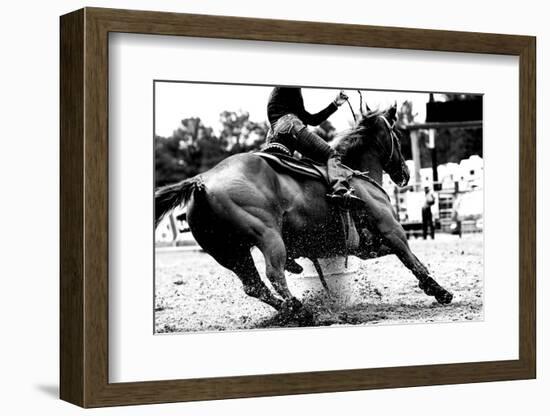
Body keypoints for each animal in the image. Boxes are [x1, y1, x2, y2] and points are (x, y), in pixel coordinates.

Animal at [156, 105, 458, 324]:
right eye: (397, 136)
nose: (404, 174)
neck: (356, 176)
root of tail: (202, 182)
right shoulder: (392, 231)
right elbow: (413, 261)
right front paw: (440, 291)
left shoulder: (365, 247)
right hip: (268, 238)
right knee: (274, 275)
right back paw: (300, 310)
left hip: (230, 252)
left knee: (254, 286)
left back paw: (292, 310)